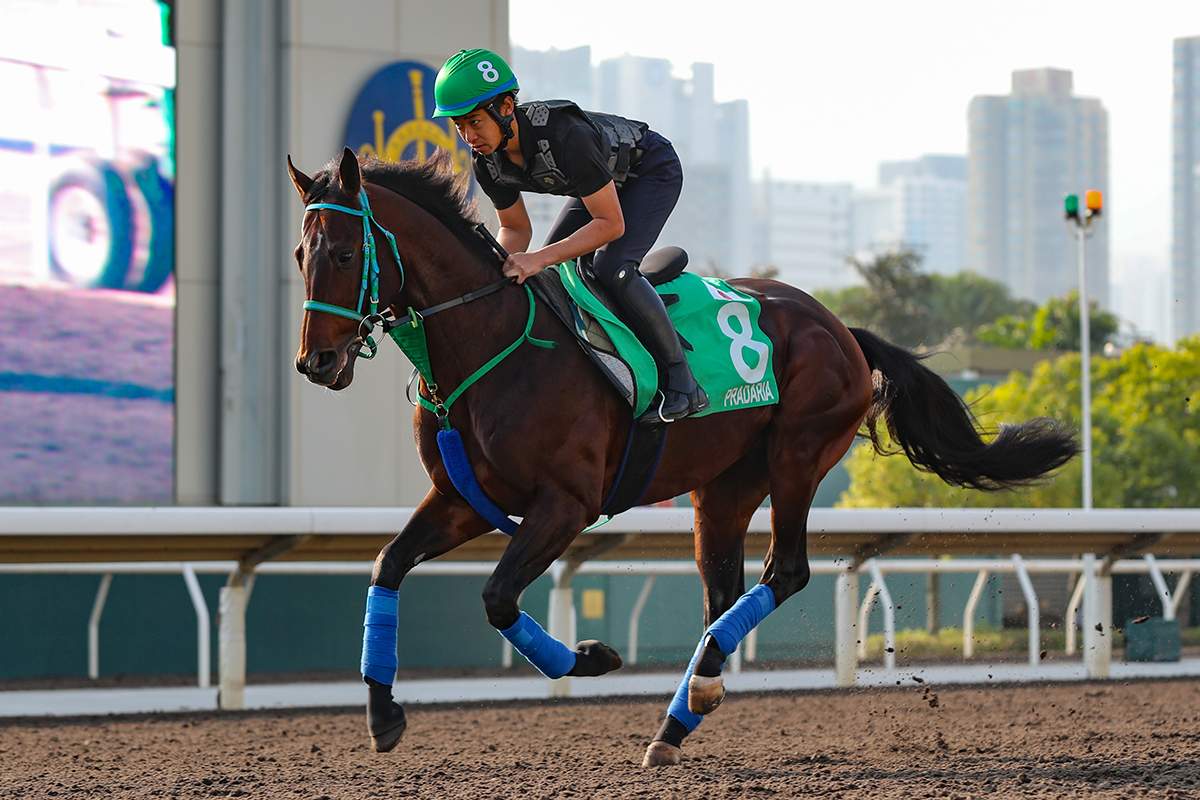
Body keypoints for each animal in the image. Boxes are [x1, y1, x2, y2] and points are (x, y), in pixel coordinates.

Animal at [283, 148, 1080, 767]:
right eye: (300, 255)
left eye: (347, 254)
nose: (316, 363)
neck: (493, 341)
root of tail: (841, 328)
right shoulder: (461, 499)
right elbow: (388, 565)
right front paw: (383, 714)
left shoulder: (566, 504)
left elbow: (499, 597)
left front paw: (593, 658)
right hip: (722, 489)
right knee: (720, 592)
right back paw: (682, 712)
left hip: (797, 456)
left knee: (786, 572)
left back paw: (694, 693)